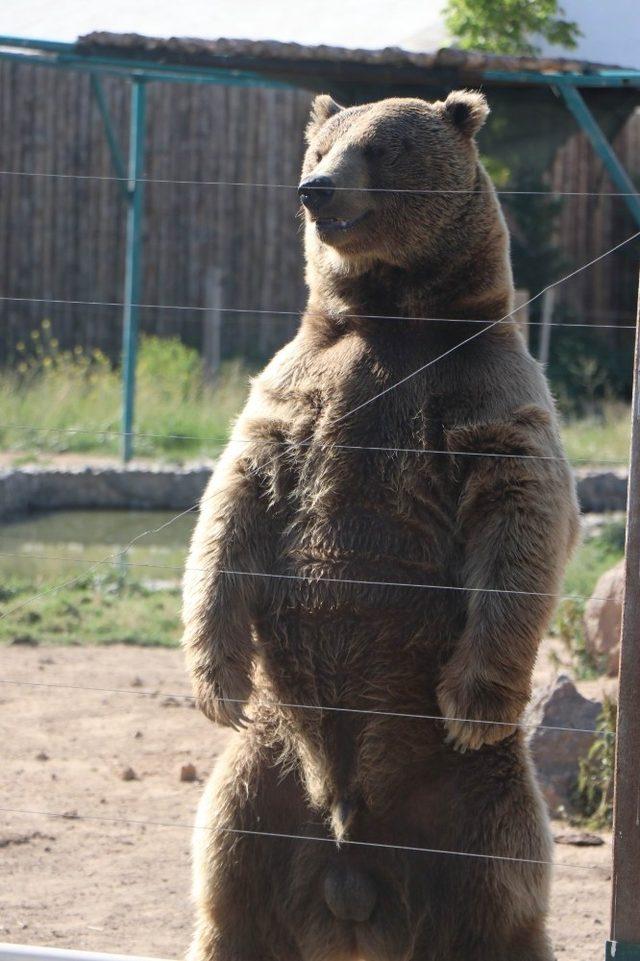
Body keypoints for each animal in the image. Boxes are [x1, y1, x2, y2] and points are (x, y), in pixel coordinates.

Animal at [181, 92, 580, 960]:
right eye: (321, 145)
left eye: (383, 146)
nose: (316, 191)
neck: (392, 314)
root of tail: (352, 870)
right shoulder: (297, 387)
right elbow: (231, 505)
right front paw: (218, 682)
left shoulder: (483, 394)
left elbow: (522, 516)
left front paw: (471, 702)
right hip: (263, 782)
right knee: (231, 887)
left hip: (470, 804)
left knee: (498, 893)